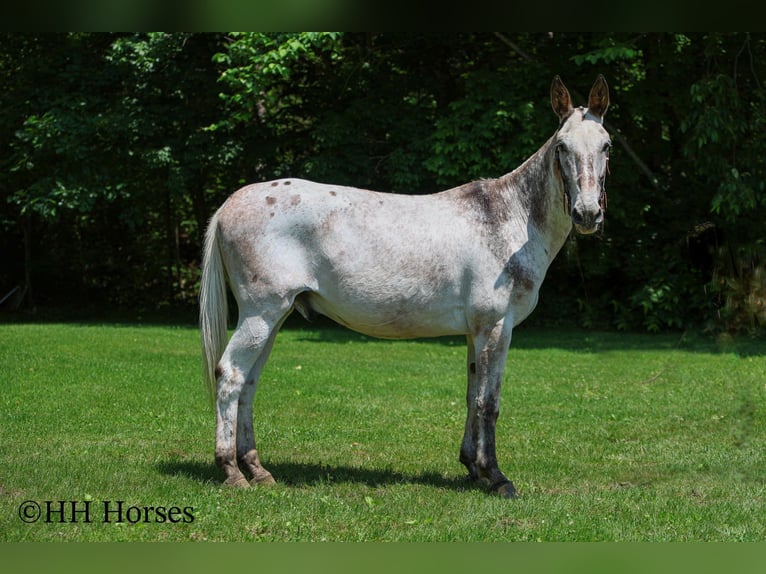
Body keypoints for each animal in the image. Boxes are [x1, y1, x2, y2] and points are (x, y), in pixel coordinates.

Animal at [199, 75, 611, 498]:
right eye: (562, 147)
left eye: (606, 145)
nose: (587, 214)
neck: (508, 219)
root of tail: (231, 202)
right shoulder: (497, 327)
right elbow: (489, 403)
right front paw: (496, 476)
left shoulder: (475, 331)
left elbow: (471, 395)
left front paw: (472, 466)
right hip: (261, 315)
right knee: (230, 376)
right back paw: (231, 471)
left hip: (273, 319)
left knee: (249, 382)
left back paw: (257, 469)